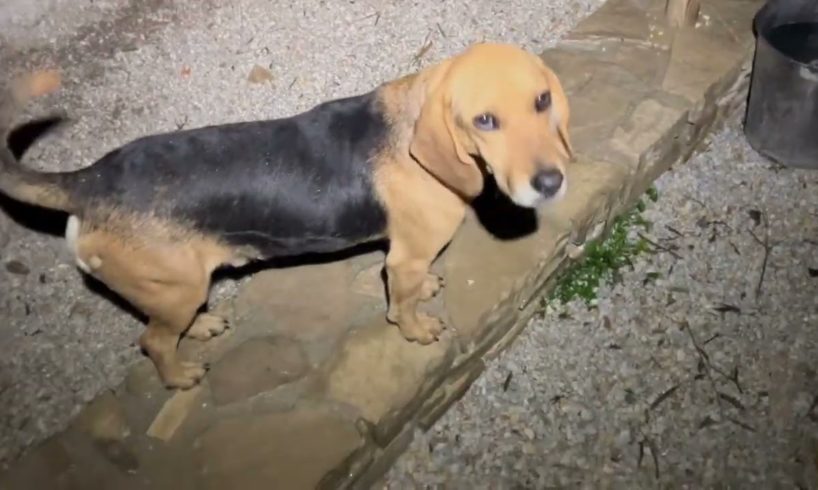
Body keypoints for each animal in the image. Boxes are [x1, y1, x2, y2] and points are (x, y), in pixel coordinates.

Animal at [1, 43, 572, 390]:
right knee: (152, 341)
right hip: (175, 290)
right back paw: (180, 377)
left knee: (165, 325)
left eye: (543, 100)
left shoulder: (408, 260)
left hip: (175, 291)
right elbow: (403, 308)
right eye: (484, 120)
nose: (551, 183)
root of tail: (88, 180)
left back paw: (203, 327)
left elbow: (416, 288)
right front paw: (415, 330)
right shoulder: (403, 260)